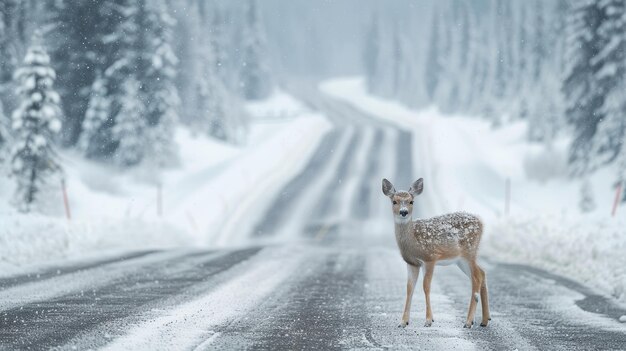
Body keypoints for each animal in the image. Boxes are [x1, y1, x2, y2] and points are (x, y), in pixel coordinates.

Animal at [378, 179, 490, 330]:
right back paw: (484, 320)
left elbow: (426, 287)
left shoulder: (430, 258)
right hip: (461, 260)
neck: (413, 241)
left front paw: (428, 320)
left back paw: (468, 322)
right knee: (482, 273)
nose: (403, 212)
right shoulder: (412, 263)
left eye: (411, 201)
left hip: (469, 252)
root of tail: (481, 222)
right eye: (394, 201)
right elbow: (409, 288)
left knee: (477, 277)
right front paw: (403, 322)